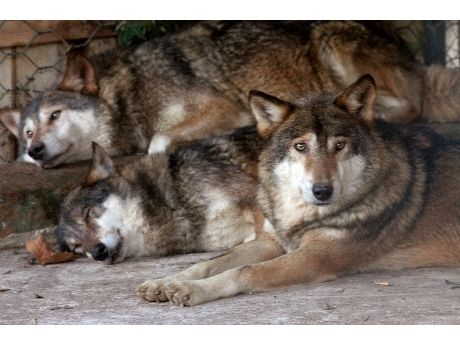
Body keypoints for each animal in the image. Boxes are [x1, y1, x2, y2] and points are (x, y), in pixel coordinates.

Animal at [0, 21, 460, 167]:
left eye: (55, 115)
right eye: (26, 133)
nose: (34, 151)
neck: (129, 93)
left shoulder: (224, 107)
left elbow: (159, 141)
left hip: (329, 40)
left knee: (410, 105)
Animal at [137, 74, 460, 306]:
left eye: (339, 146)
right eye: (301, 147)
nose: (322, 191)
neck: (300, 214)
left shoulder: (313, 257)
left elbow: (243, 271)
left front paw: (192, 290)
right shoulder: (271, 242)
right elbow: (208, 263)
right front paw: (167, 281)